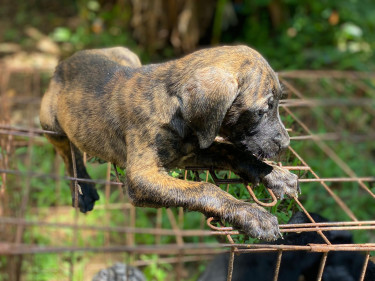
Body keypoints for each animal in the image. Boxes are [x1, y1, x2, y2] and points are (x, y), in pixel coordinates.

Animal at [39, 44, 300, 240]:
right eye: (261, 111)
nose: (287, 144)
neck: (176, 107)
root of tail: (65, 61)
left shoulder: (190, 151)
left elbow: (232, 152)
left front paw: (275, 175)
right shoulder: (141, 177)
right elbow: (205, 188)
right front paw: (252, 214)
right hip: (50, 123)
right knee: (67, 152)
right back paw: (83, 191)